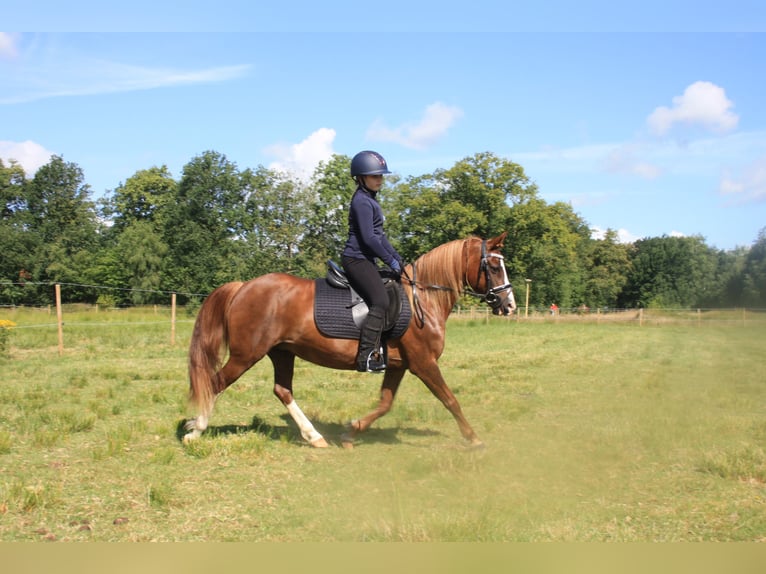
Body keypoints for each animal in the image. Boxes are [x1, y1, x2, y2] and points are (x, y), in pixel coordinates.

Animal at [182, 233, 516, 450]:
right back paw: (195, 431)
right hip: (246, 354)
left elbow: (385, 403)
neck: (424, 298)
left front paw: (351, 432)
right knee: (215, 383)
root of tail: (243, 287)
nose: (509, 305)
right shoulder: (424, 363)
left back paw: (315, 437)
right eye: (494, 267)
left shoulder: (400, 365)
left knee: (282, 390)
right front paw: (474, 438)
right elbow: (450, 399)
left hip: (281, 352)